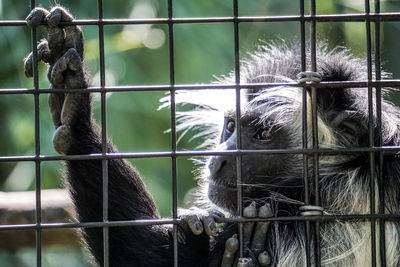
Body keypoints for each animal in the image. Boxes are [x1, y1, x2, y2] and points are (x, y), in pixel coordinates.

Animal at [23, 5, 400, 266]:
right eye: (231, 127)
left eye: (263, 133)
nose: (219, 159)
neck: (355, 168)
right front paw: (69, 92)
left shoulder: (302, 214)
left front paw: (78, 123)